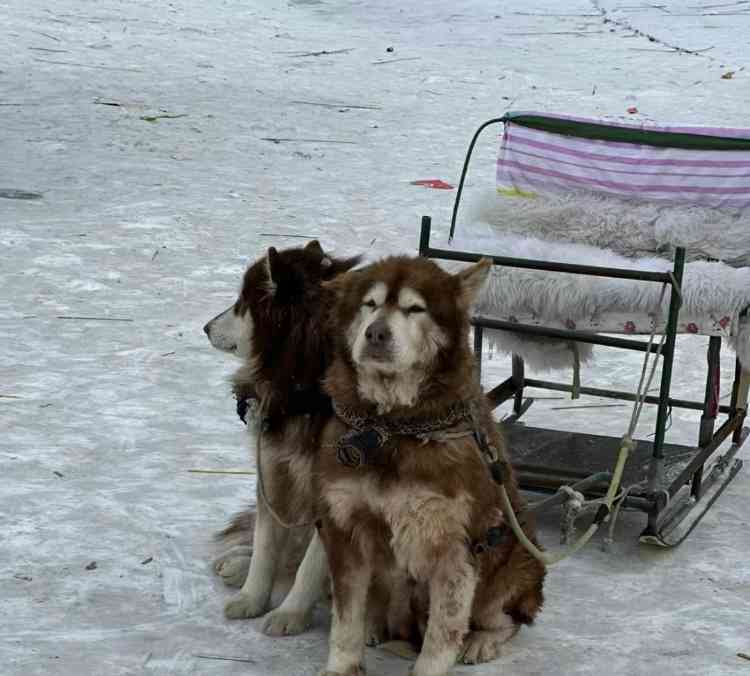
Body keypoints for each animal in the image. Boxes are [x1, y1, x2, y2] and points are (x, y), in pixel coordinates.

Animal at [204, 240, 360, 636]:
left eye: (241, 303)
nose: (205, 327)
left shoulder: (338, 496)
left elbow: (310, 564)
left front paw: (291, 613)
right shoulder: (273, 471)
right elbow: (266, 546)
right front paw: (251, 597)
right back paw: (237, 562)